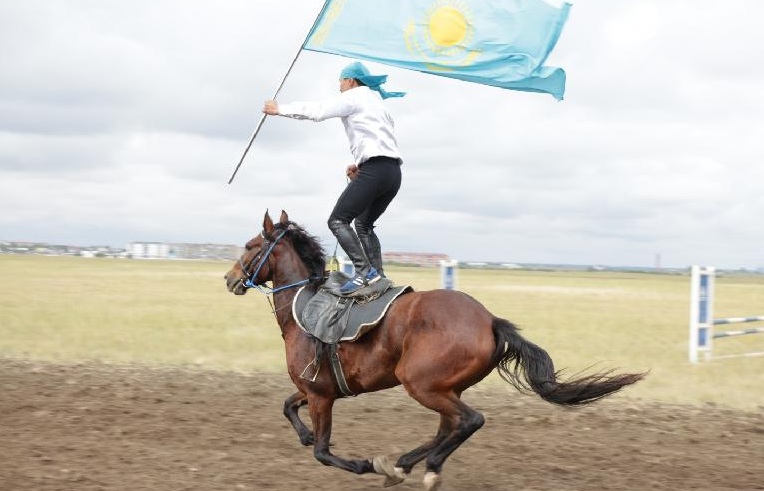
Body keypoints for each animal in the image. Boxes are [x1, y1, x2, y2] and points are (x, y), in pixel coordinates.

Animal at [225, 211, 644, 491]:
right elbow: (287, 407)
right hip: (444, 387)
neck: (304, 304)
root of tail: (490, 320)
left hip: (421, 384)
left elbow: (324, 452)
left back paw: (419, 466)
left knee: (469, 420)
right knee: (449, 425)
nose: (229, 279)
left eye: (250, 246)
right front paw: (307, 436)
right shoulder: (315, 390)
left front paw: (365, 464)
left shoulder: (320, 395)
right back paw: (408, 463)